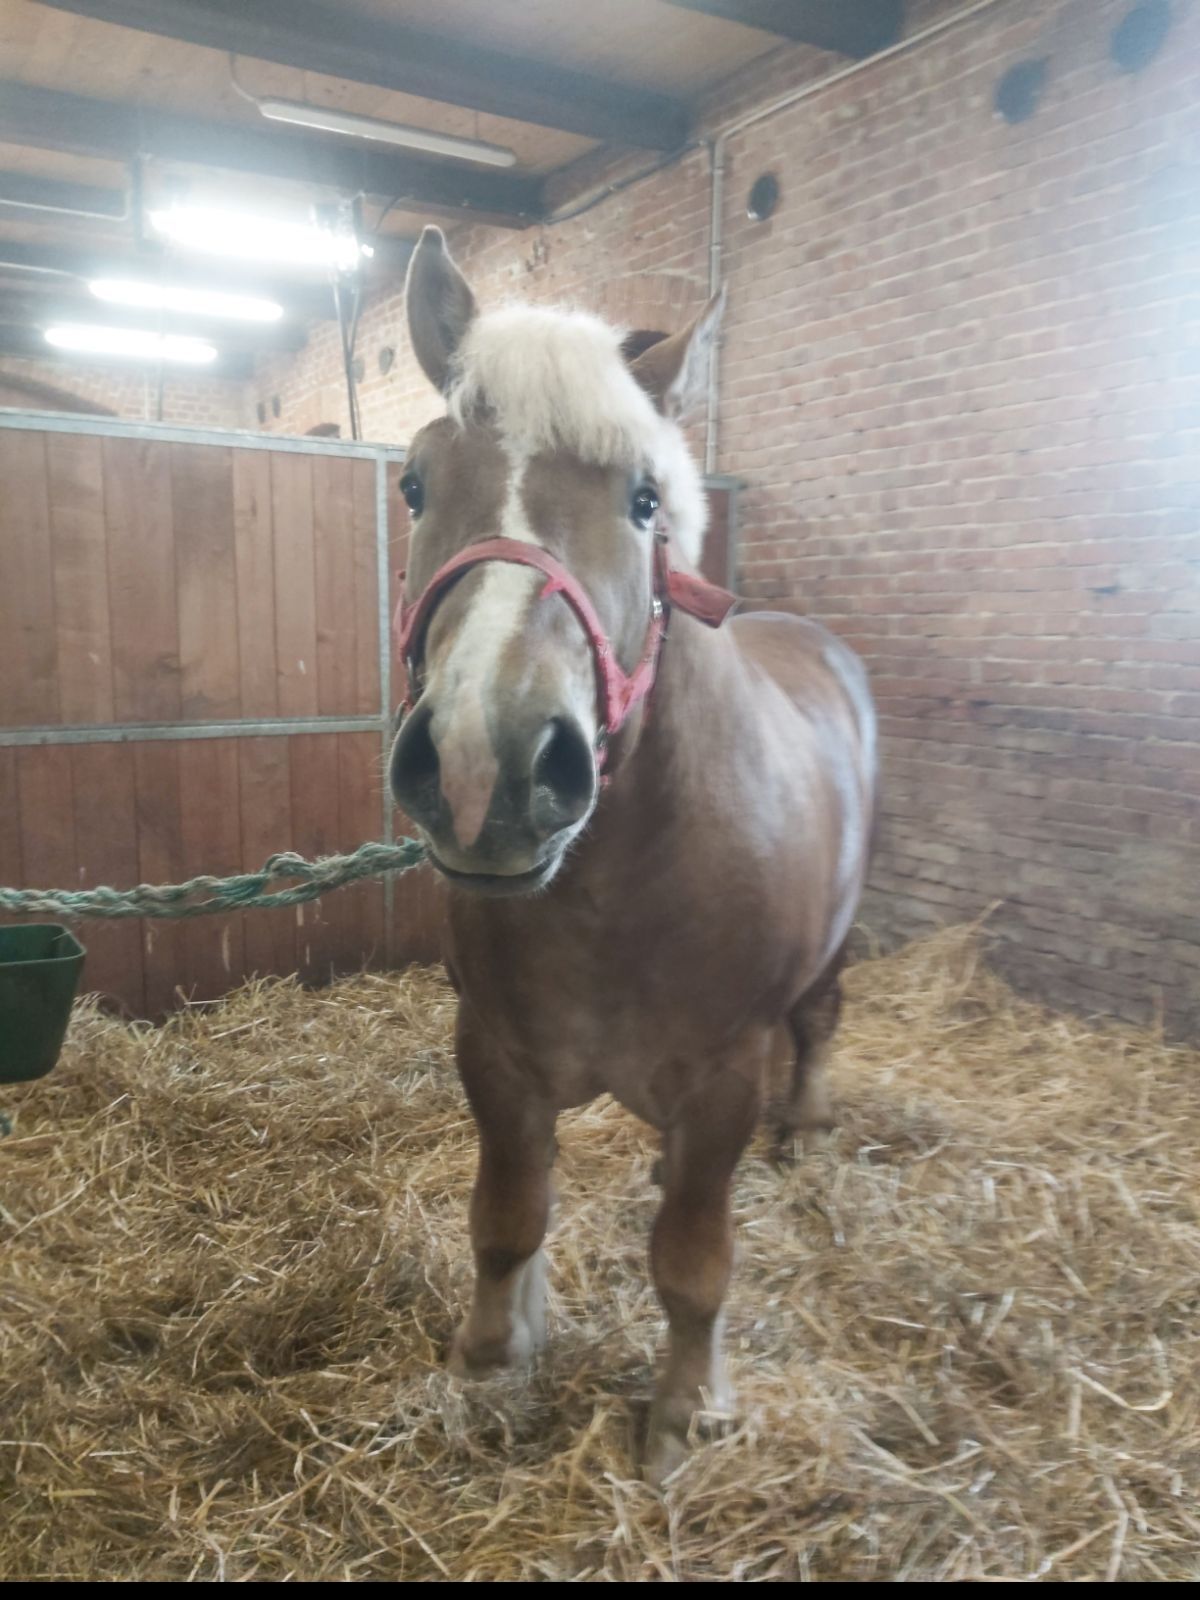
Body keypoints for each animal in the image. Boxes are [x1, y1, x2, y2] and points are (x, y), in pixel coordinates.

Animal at [390, 228, 876, 1484]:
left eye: (645, 499)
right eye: (414, 483)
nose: (487, 763)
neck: (623, 885)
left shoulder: (721, 1079)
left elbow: (693, 1263)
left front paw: (685, 1411)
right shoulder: (497, 1056)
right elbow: (508, 1219)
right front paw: (494, 1354)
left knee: (819, 1023)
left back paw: (806, 1128)